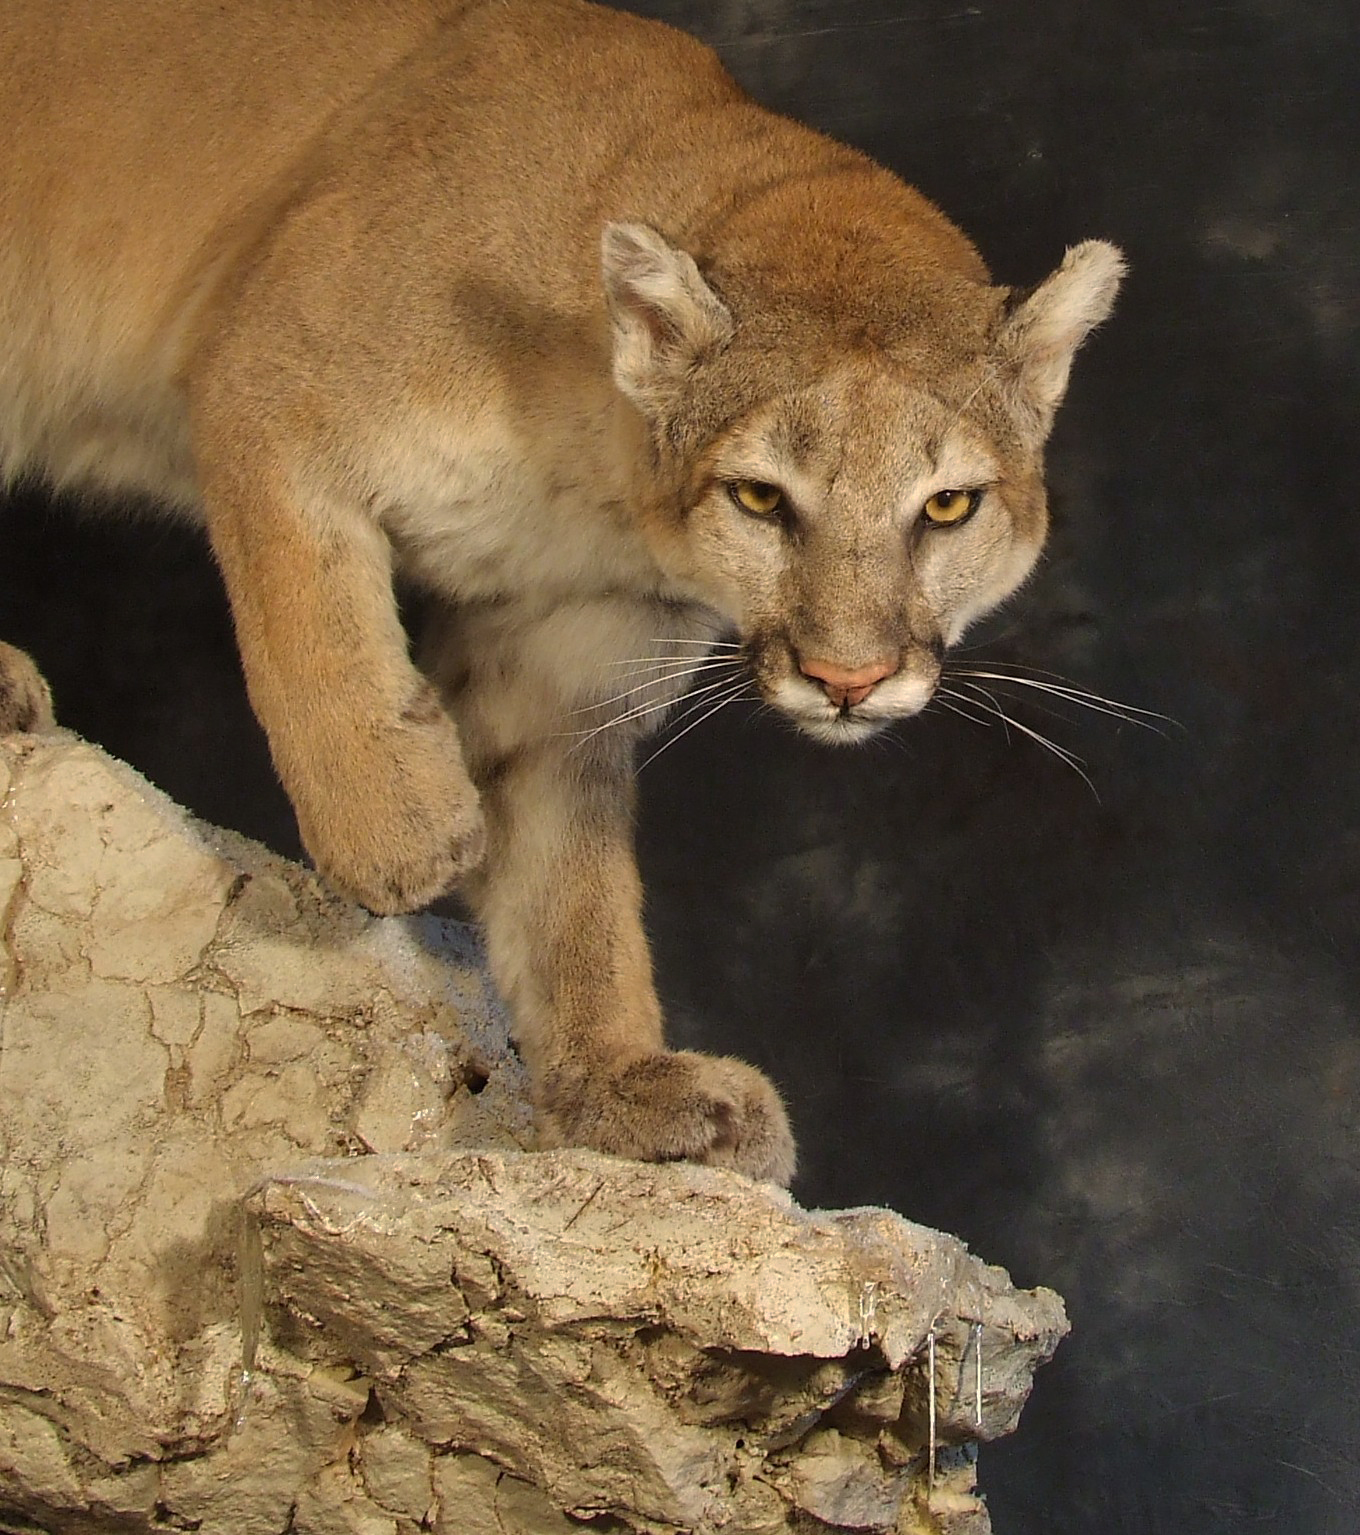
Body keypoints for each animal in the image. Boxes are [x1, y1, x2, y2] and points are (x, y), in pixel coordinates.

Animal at [2, 0, 1129, 1185]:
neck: (596, 474)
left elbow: (570, 885)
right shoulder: (266, 386)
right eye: (760, 497)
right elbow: (308, 622)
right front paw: (397, 828)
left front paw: (620, 1081)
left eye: (948, 505)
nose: (848, 679)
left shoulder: (564, 657)